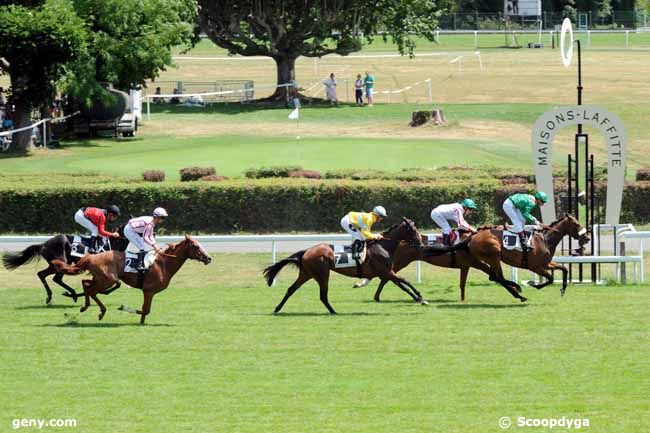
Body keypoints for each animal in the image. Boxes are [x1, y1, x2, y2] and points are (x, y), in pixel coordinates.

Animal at [61, 235, 210, 322]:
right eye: (196, 246)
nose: (208, 258)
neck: (163, 264)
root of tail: (91, 256)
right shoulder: (148, 290)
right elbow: (146, 310)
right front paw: (123, 308)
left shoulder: (149, 291)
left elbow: (146, 310)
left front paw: (141, 321)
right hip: (107, 280)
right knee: (92, 290)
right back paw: (101, 311)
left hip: (100, 279)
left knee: (86, 284)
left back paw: (84, 305)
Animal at [262, 218, 450, 312]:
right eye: (413, 230)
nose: (420, 243)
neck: (384, 246)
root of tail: (305, 252)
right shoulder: (387, 272)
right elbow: (405, 282)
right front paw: (420, 297)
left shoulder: (387, 272)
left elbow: (402, 285)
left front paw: (419, 298)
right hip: (322, 275)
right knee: (322, 295)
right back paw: (333, 311)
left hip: (306, 274)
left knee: (291, 290)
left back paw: (277, 309)